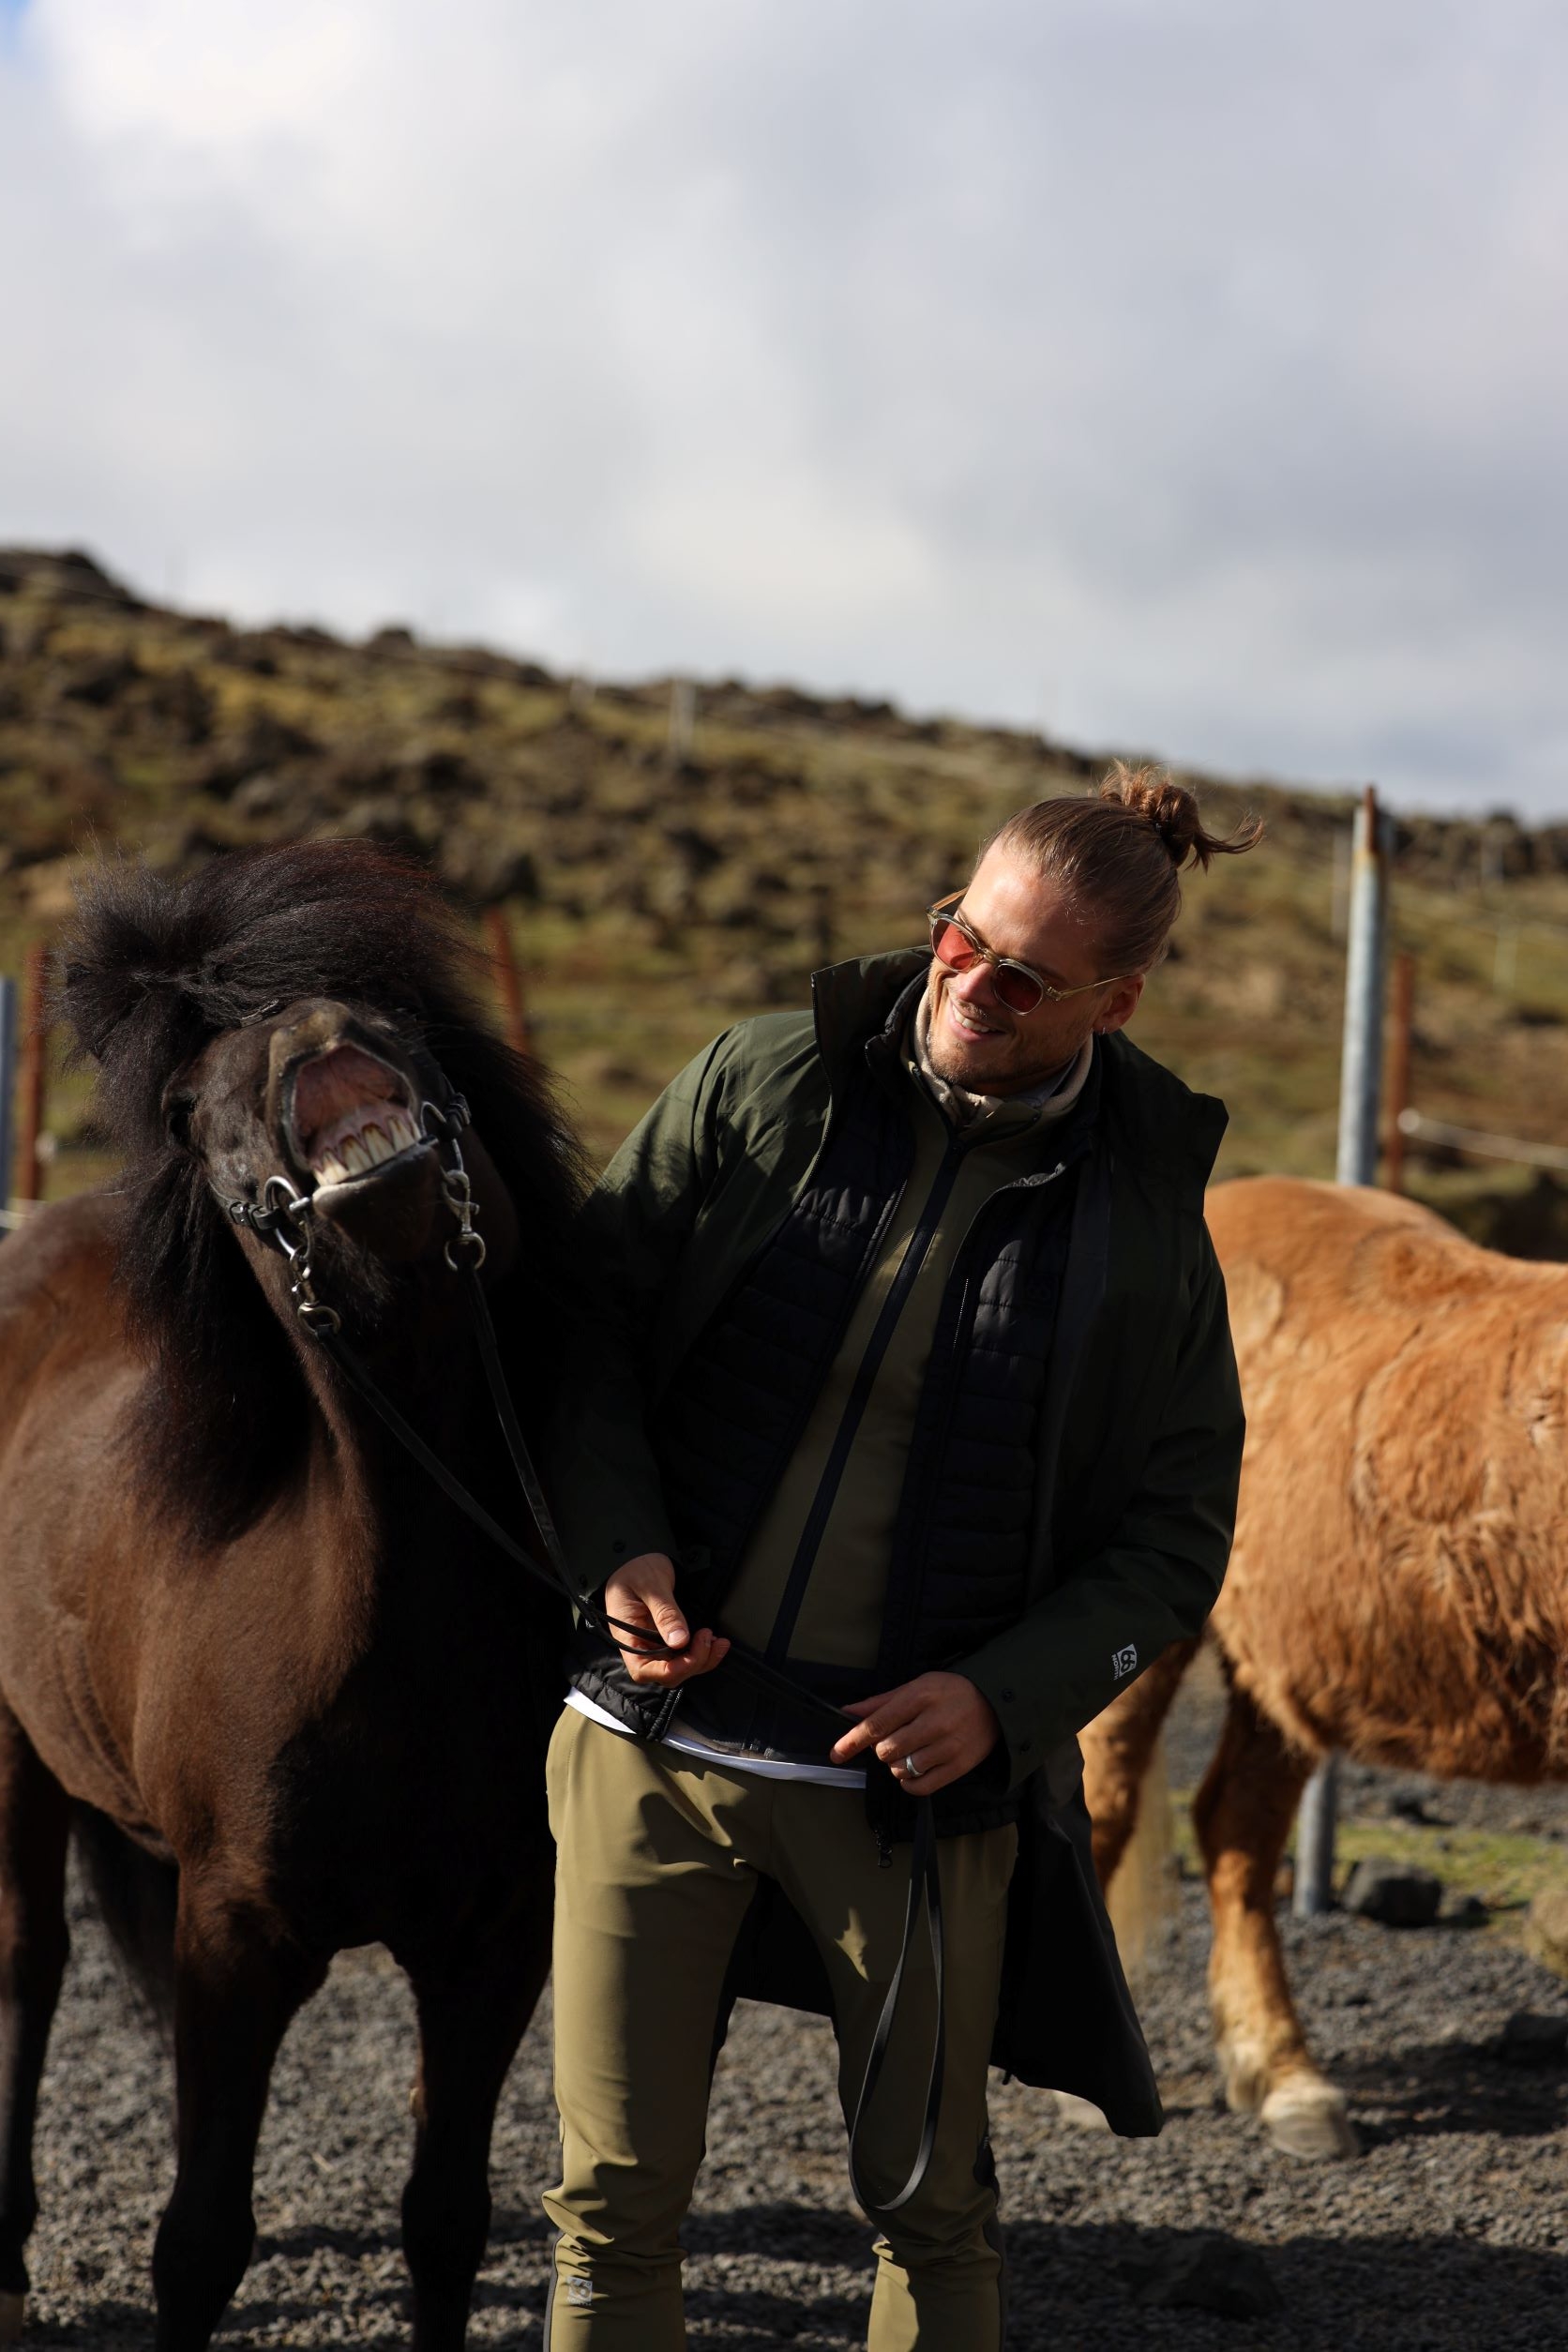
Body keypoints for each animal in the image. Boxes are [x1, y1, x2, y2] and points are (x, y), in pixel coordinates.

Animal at [0, 841, 582, 2332]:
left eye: (396, 1012)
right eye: (190, 1109)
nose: (303, 1034)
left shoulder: (495, 1942)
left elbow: (445, 2220)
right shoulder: (238, 1941)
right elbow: (199, 2239)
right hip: (13, 1754)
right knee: (30, 1972)